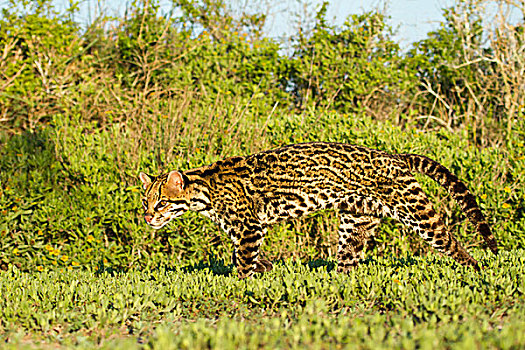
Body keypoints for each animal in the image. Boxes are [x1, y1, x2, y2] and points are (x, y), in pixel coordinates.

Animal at [138, 142, 496, 278]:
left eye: (162, 202)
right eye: (145, 202)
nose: (147, 217)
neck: (204, 192)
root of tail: (393, 155)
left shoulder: (249, 228)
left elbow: (242, 263)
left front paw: (242, 285)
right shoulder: (250, 230)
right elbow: (249, 257)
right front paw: (267, 271)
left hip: (414, 210)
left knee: (449, 239)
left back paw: (475, 267)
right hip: (356, 221)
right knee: (349, 259)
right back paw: (337, 282)